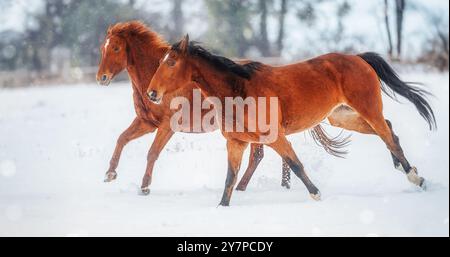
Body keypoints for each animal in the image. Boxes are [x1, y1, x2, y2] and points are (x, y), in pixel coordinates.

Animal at [94, 21, 342, 192]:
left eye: (115, 48)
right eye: (102, 48)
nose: (101, 78)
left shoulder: (166, 126)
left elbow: (152, 153)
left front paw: (144, 187)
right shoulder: (146, 122)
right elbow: (122, 139)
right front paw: (110, 173)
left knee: (259, 156)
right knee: (261, 155)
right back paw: (263, 186)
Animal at [147, 35, 436, 205]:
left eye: (171, 62)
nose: (151, 93)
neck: (238, 90)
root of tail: (357, 57)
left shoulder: (275, 137)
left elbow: (295, 165)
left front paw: (316, 194)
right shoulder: (236, 143)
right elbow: (230, 178)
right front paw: (222, 207)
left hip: (367, 108)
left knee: (388, 135)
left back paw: (415, 177)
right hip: (341, 117)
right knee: (389, 131)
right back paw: (404, 168)